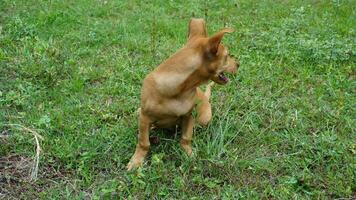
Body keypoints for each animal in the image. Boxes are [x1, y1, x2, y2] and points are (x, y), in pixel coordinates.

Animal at [128, 18, 239, 170]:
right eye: (227, 56)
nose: (238, 64)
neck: (180, 89)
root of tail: (206, 97)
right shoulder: (145, 117)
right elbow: (143, 142)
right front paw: (137, 160)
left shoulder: (188, 115)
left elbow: (186, 138)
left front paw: (189, 154)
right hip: (140, 112)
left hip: (204, 119)